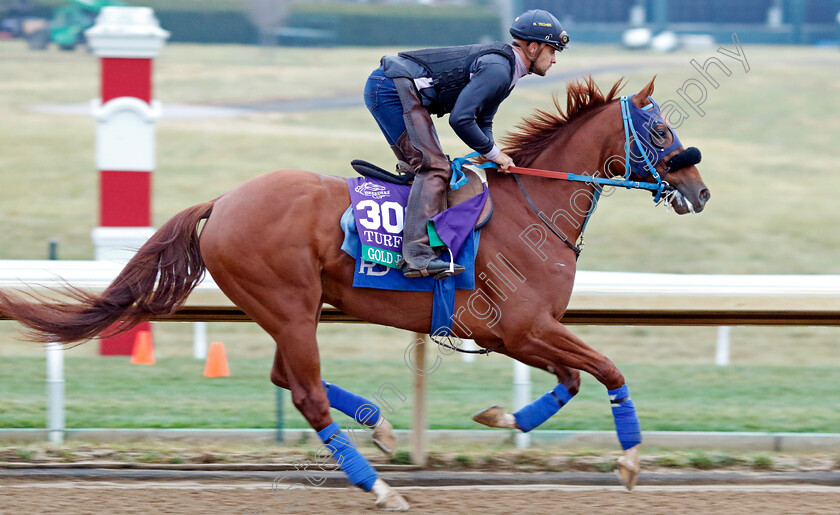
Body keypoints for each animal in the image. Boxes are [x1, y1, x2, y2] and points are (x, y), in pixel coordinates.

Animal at [0, 77, 708, 512]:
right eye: (662, 134)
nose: (699, 192)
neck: (534, 208)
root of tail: (222, 202)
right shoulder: (518, 327)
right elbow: (606, 368)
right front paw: (631, 462)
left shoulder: (524, 333)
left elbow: (573, 379)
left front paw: (500, 419)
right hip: (287, 304)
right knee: (306, 392)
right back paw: (380, 488)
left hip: (294, 308)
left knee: (286, 377)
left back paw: (381, 426)